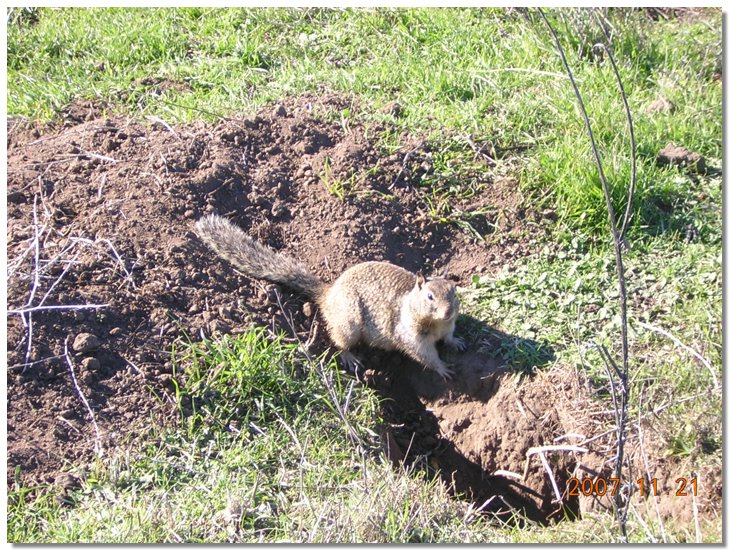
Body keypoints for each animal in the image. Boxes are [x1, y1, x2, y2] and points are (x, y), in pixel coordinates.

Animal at [195, 215, 466, 380]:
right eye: (429, 296)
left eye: (454, 293)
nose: (447, 312)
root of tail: (328, 294)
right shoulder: (412, 336)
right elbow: (425, 356)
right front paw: (443, 369)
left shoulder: (448, 326)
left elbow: (449, 337)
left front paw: (457, 343)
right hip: (348, 324)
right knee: (339, 341)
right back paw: (350, 357)